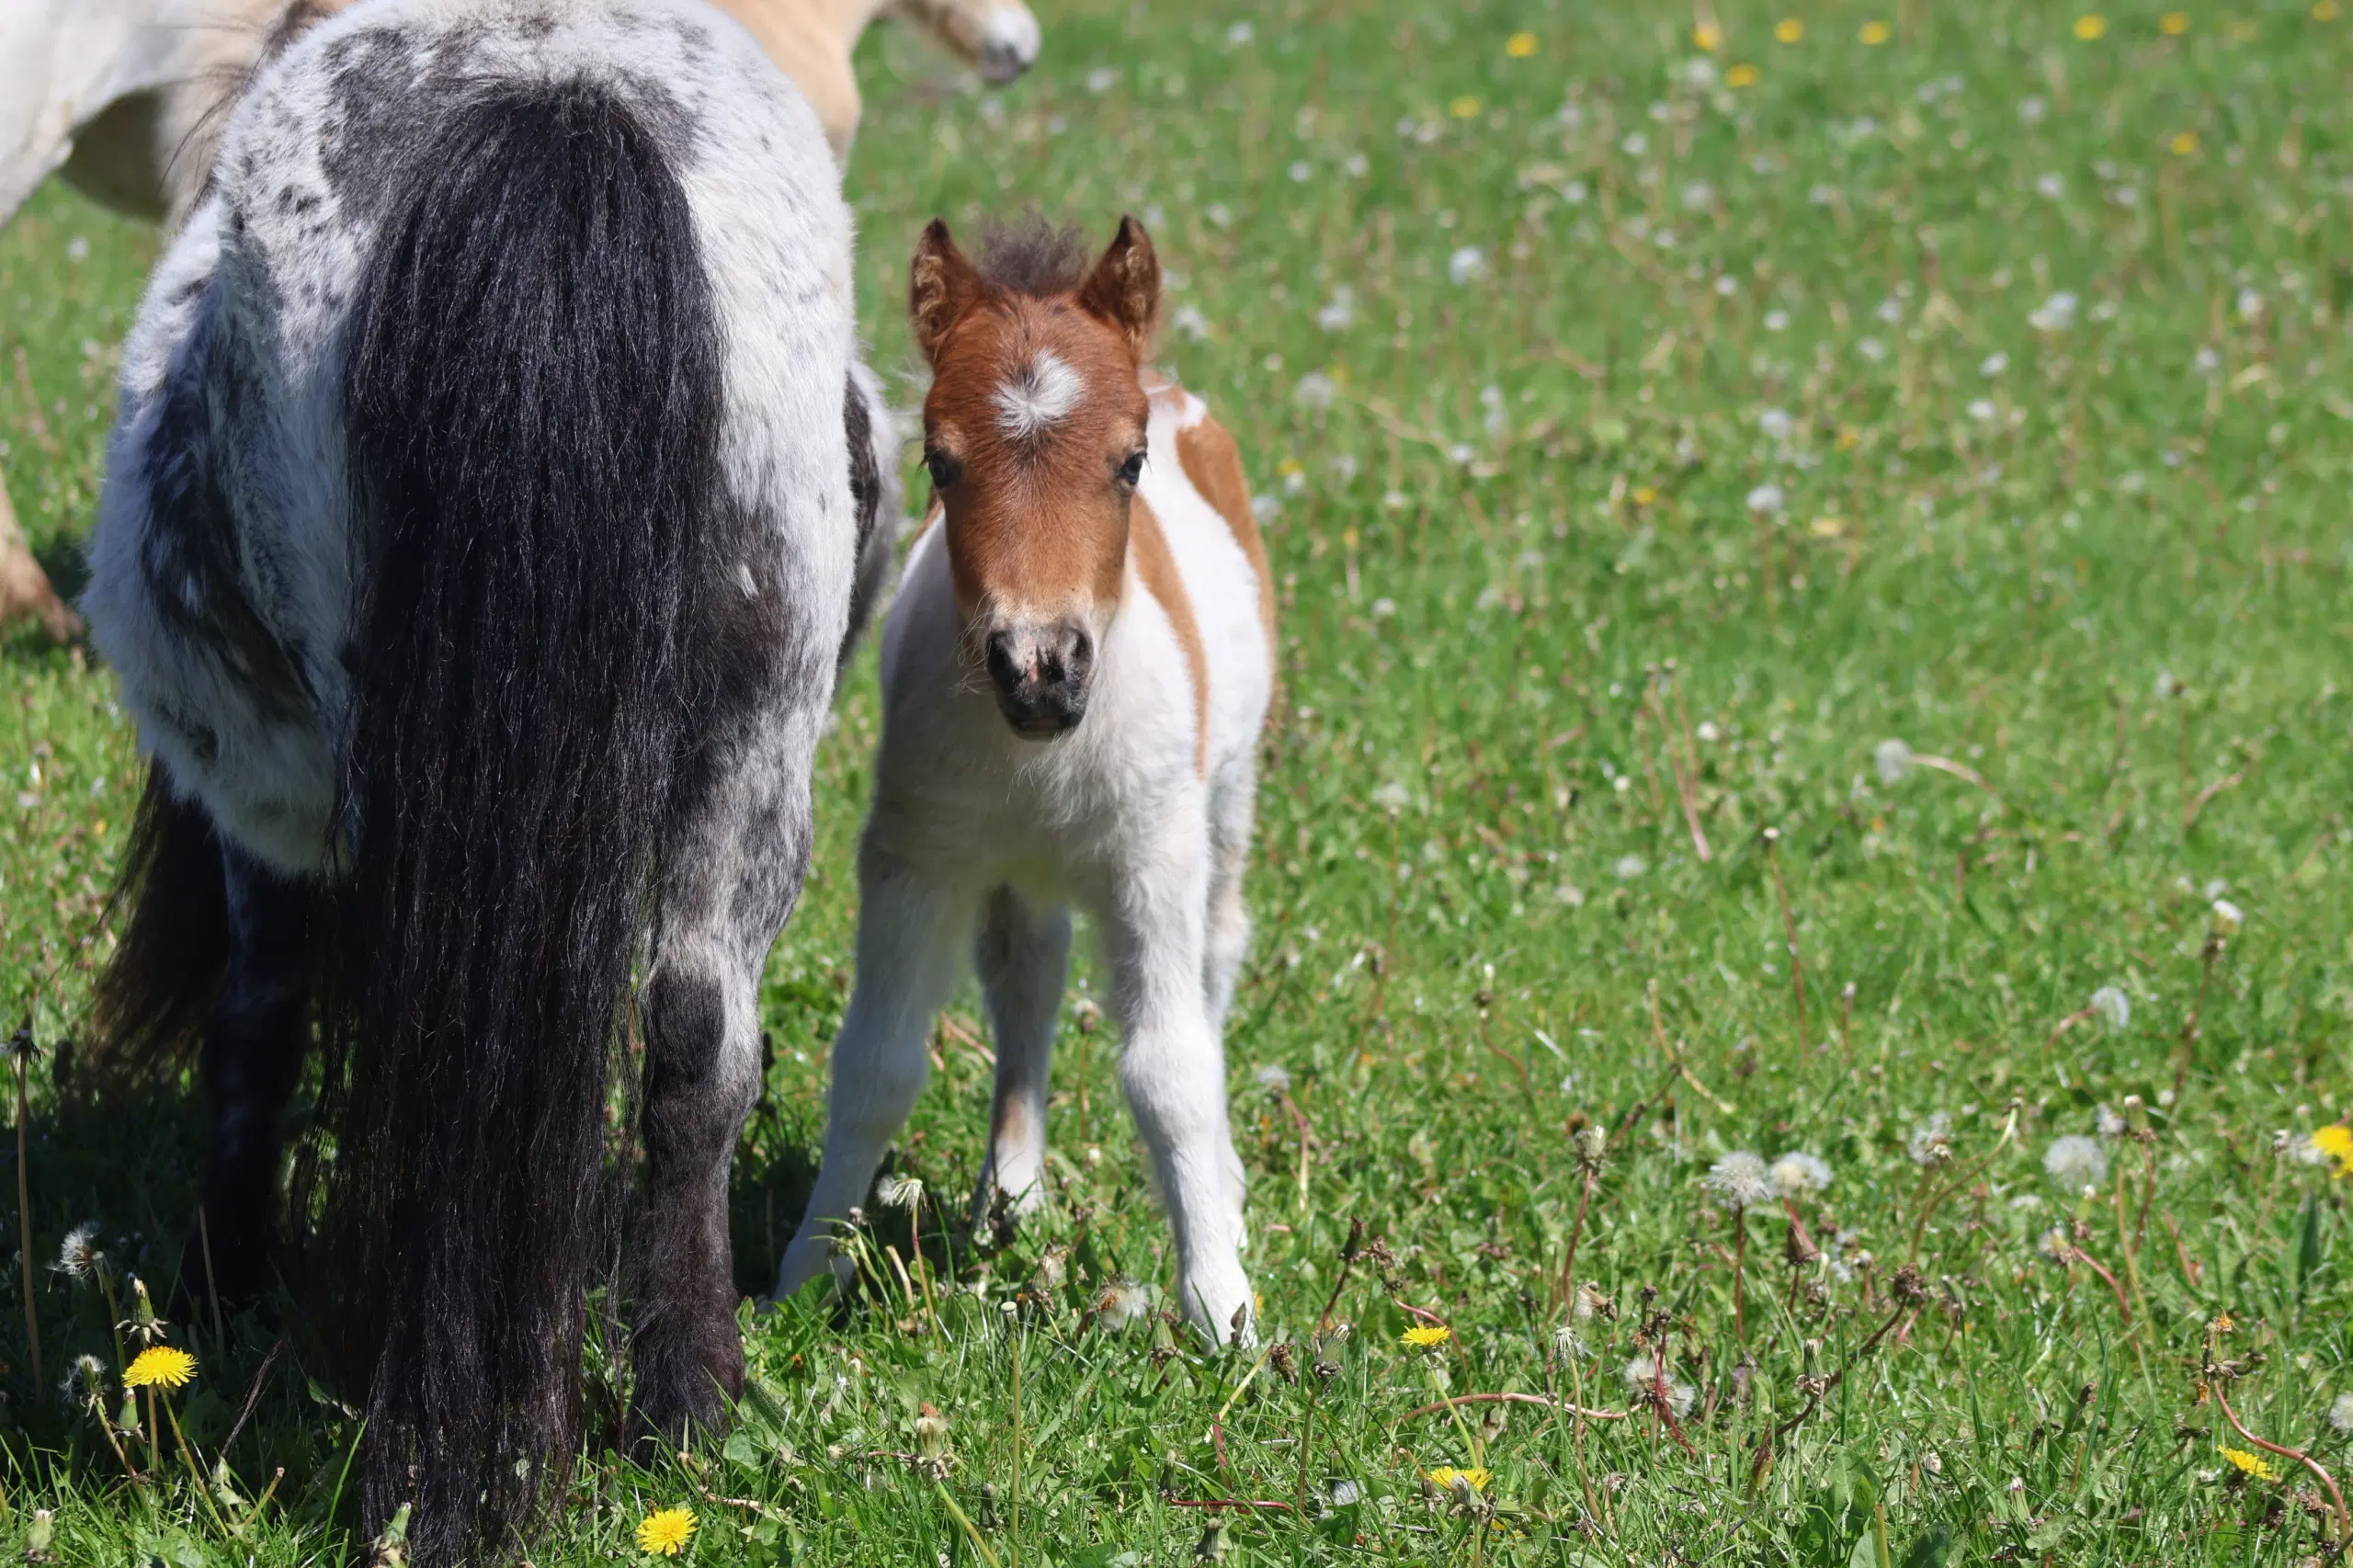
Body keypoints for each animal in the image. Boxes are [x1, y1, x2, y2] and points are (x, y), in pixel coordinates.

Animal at [780, 216, 1279, 1346]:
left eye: (1129, 462)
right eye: (940, 460)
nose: (1040, 667)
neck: (1041, 756)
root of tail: (1170, 383)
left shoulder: (1152, 859)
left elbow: (1172, 1071)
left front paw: (1222, 1309)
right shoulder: (913, 858)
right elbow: (875, 1060)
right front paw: (803, 1274)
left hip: (1223, 811)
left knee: (1216, 958)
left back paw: (1222, 1192)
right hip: (1015, 873)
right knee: (1028, 975)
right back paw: (1010, 1193)